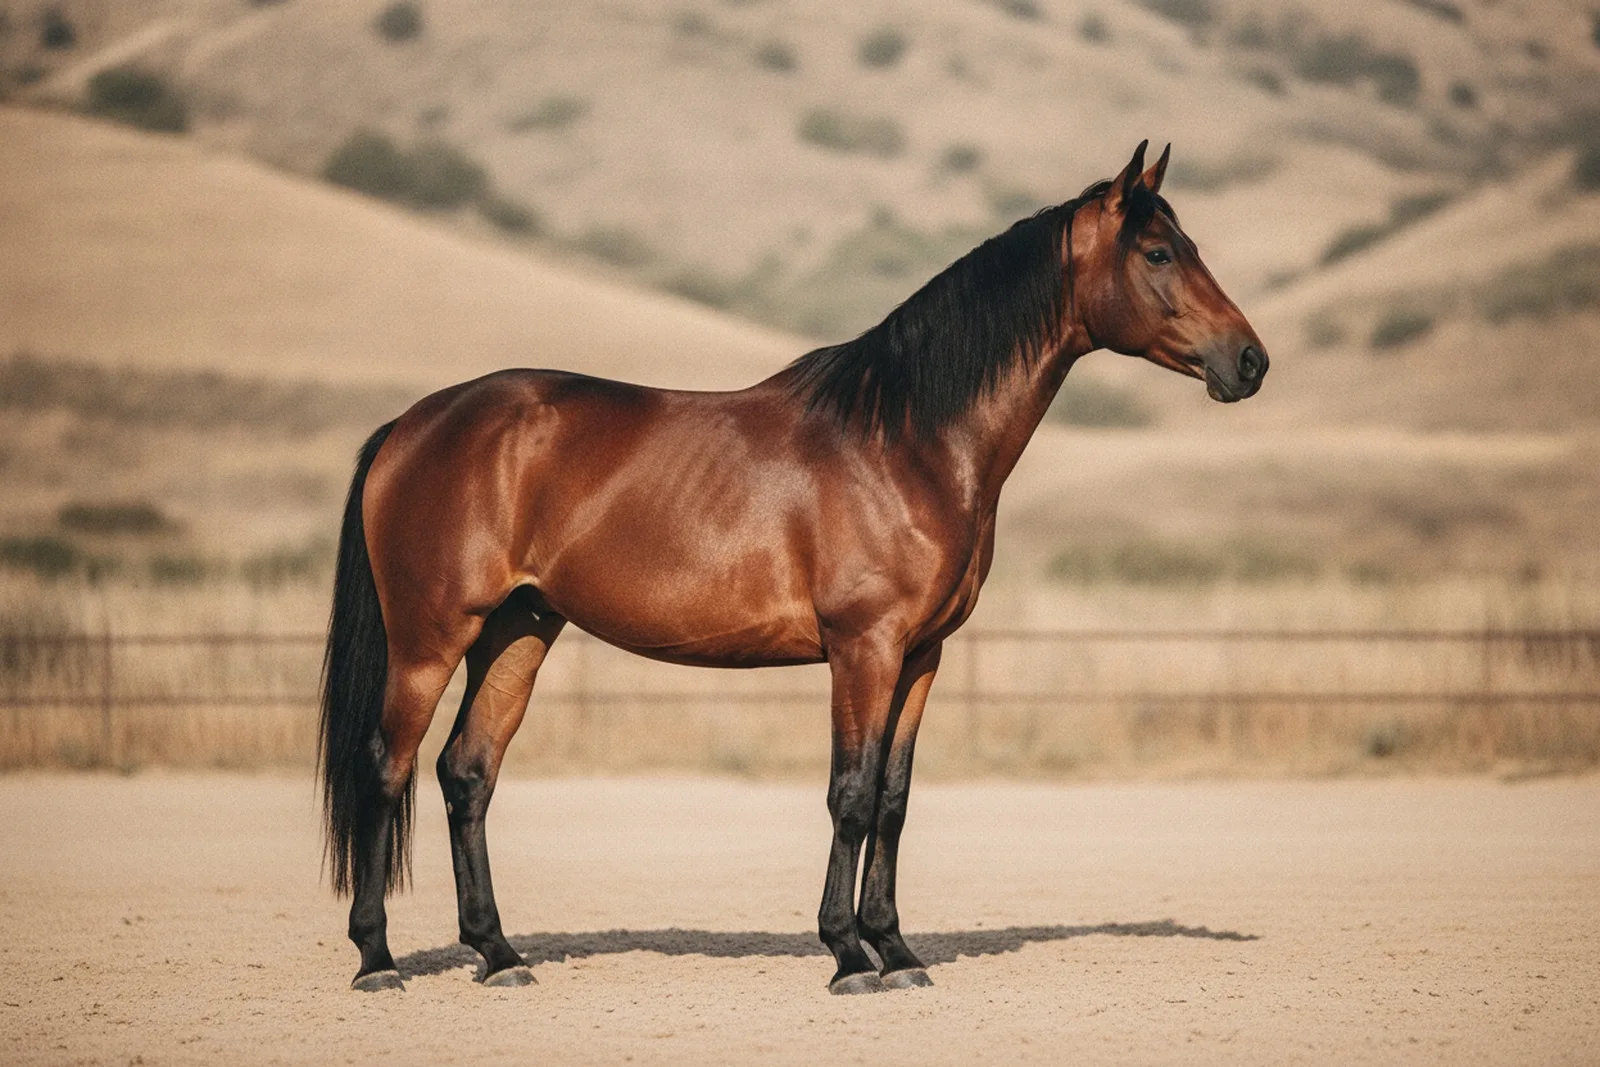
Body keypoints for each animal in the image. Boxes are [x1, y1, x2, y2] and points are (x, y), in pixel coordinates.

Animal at [318, 141, 1268, 995]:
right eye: (1158, 252)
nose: (1250, 361)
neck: (907, 441)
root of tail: (412, 424)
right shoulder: (862, 648)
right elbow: (849, 793)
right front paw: (848, 956)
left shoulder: (921, 655)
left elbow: (893, 796)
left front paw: (898, 950)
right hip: (431, 639)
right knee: (387, 768)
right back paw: (377, 958)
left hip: (519, 629)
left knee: (466, 772)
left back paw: (500, 953)